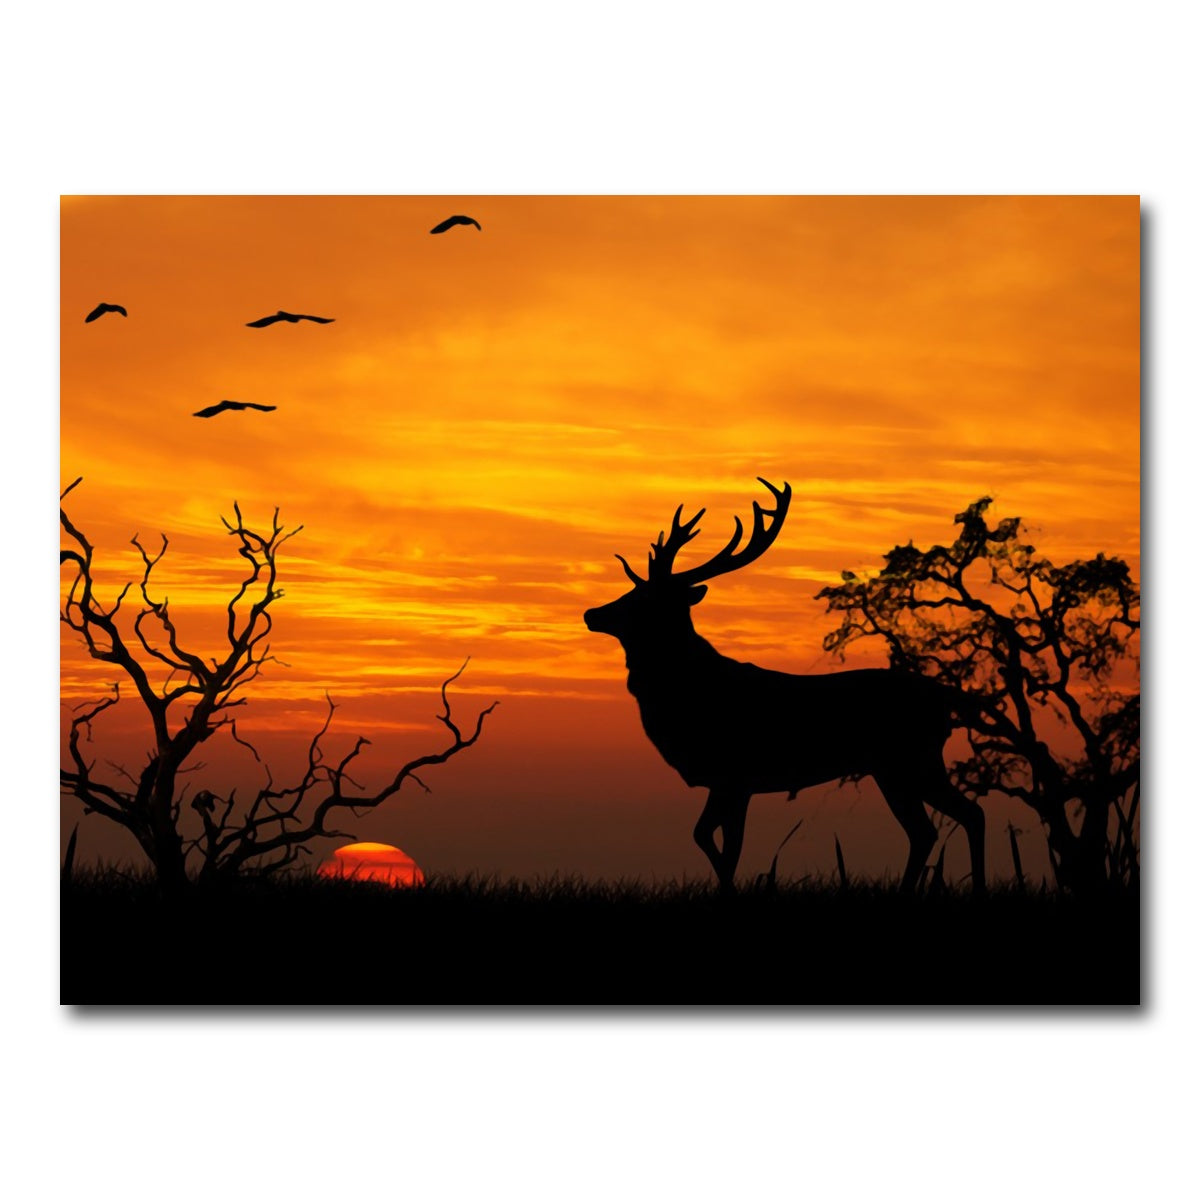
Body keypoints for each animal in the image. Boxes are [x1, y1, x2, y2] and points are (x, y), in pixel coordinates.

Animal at [583, 477, 986, 893]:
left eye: (644, 598)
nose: (592, 613)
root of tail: (946, 698)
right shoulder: (724, 782)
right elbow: (708, 838)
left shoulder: (736, 775)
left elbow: (725, 846)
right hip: (897, 767)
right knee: (937, 826)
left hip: (910, 758)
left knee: (958, 817)